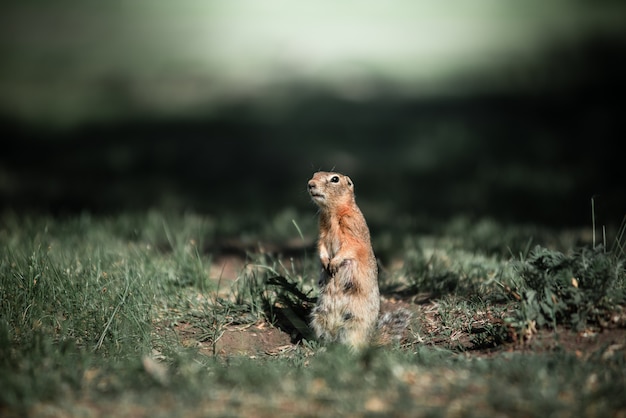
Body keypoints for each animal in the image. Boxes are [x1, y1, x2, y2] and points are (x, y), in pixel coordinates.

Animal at [306, 170, 378, 350]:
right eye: (314, 174)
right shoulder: (322, 233)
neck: (332, 213)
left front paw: (333, 264)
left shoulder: (352, 228)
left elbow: (350, 247)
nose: (310, 184)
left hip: (355, 324)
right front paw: (325, 262)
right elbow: (321, 246)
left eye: (335, 179)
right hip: (319, 316)